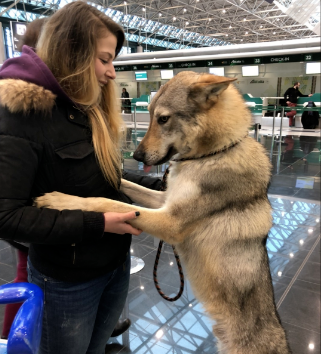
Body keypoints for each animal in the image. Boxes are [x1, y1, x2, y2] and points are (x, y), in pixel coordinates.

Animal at [35, 72, 290, 354]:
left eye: (163, 119)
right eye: (149, 115)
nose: (136, 155)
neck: (214, 153)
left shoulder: (170, 221)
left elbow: (107, 203)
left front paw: (60, 199)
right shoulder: (163, 200)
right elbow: (124, 185)